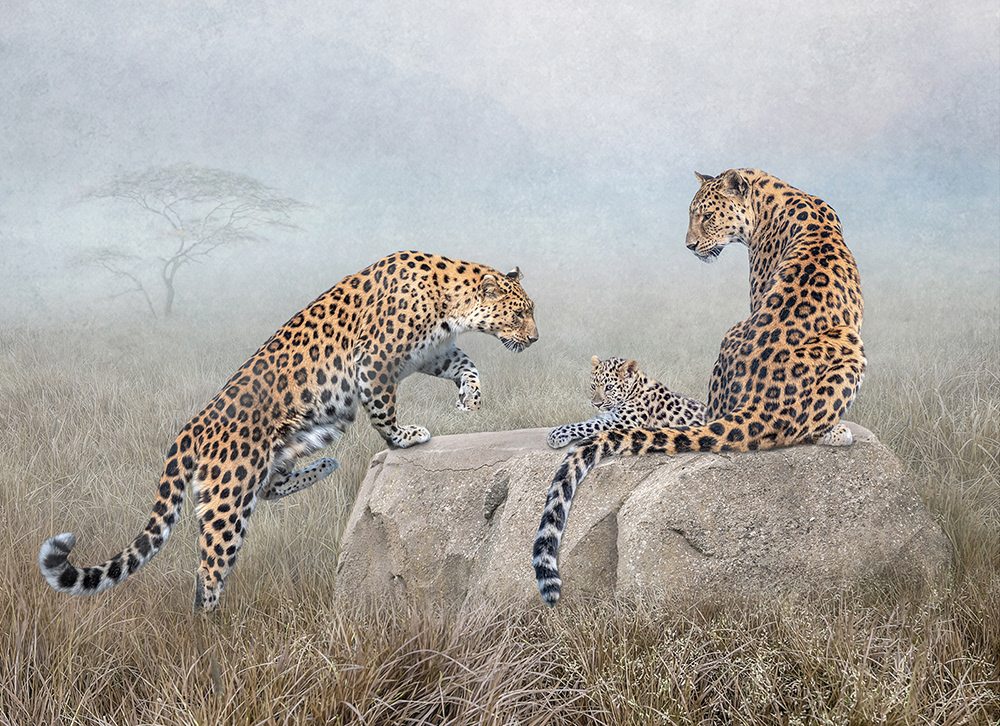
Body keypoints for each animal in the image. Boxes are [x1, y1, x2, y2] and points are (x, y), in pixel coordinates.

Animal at [39, 250, 538, 612]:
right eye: (518, 315)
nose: (534, 339)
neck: (450, 300)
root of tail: (190, 428)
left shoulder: (432, 353)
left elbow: (467, 365)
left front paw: (470, 401)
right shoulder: (374, 361)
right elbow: (384, 409)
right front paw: (404, 436)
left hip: (293, 442)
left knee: (272, 485)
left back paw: (324, 465)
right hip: (228, 499)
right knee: (209, 570)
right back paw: (210, 628)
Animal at [547, 356, 707, 449]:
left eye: (609, 387)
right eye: (593, 386)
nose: (596, 404)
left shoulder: (625, 424)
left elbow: (588, 425)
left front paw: (556, 435)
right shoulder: (608, 416)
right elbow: (586, 422)